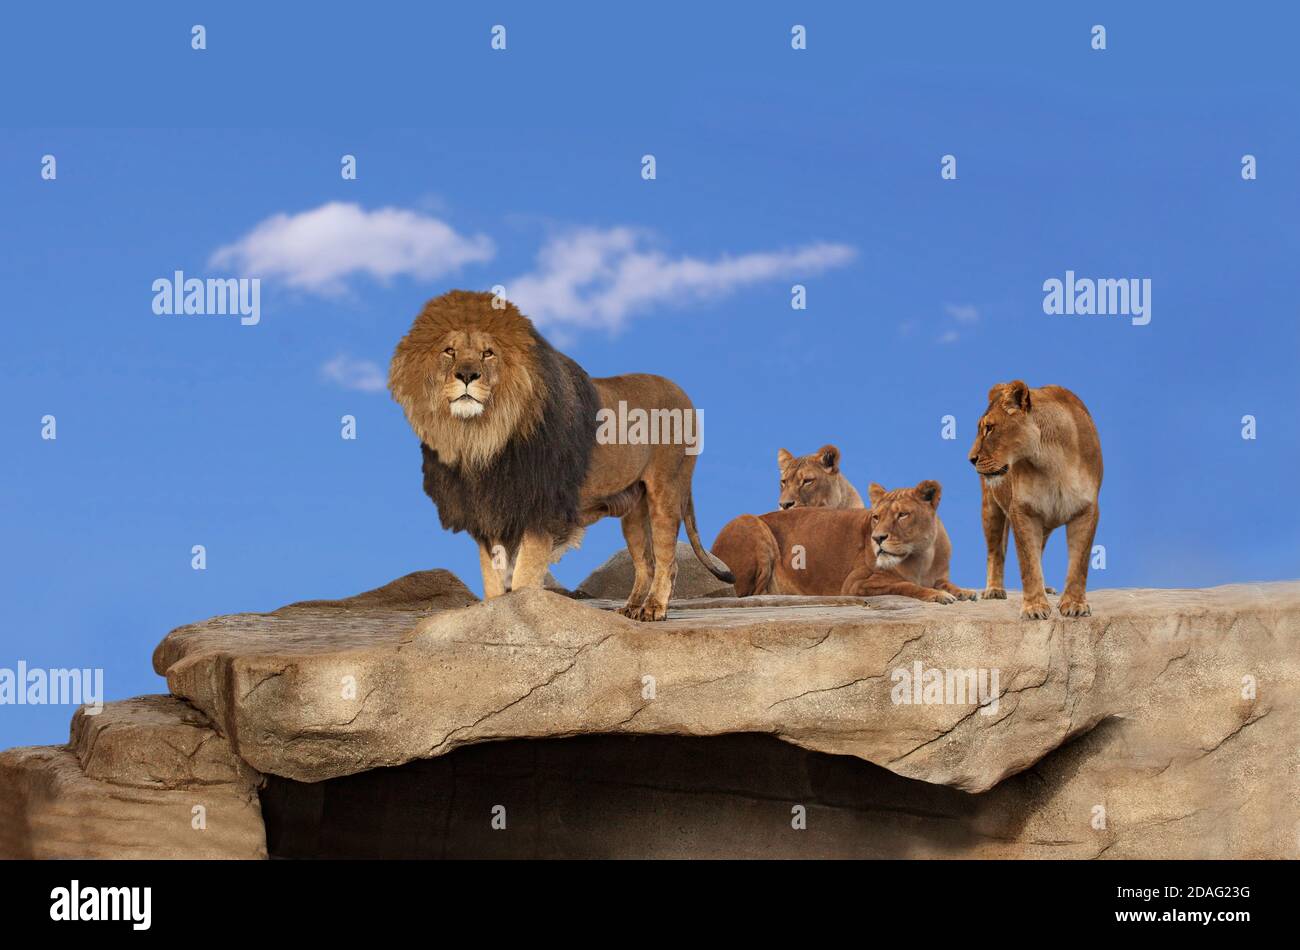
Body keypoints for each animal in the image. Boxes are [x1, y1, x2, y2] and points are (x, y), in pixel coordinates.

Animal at [384, 289, 733, 621]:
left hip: (667, 490)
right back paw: (632, 607)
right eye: (449, 351)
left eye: (488, 353)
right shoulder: (489, 514)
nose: (467, 375)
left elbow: (523, 580)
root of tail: (683, 392)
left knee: (666, 560)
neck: (479, 438)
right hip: (633, 506)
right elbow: (493, 582)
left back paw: (654, 609)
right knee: (645, 561)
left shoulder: (540, 513)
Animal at [712, 478, 977, 605]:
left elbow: (946, 582)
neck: (922, 554)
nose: (877, 538)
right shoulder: (856, 583)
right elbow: (906, 585)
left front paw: (965, 592)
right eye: (876, 517)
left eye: (902, 515)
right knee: (745, 594)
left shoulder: (938, 574)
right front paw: (937, 595)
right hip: (749, 523)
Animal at [972, 382, 1102, 621]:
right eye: (982, 428)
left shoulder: (1086, 510)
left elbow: (1079, 563)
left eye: (990, 428)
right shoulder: (1022, 510)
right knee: (995, 551)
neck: (1053, 462)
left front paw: (1075, 604)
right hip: (991, 508)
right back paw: (994, 589)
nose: (971, 459)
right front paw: (1034, 607)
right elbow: (1028, 564)